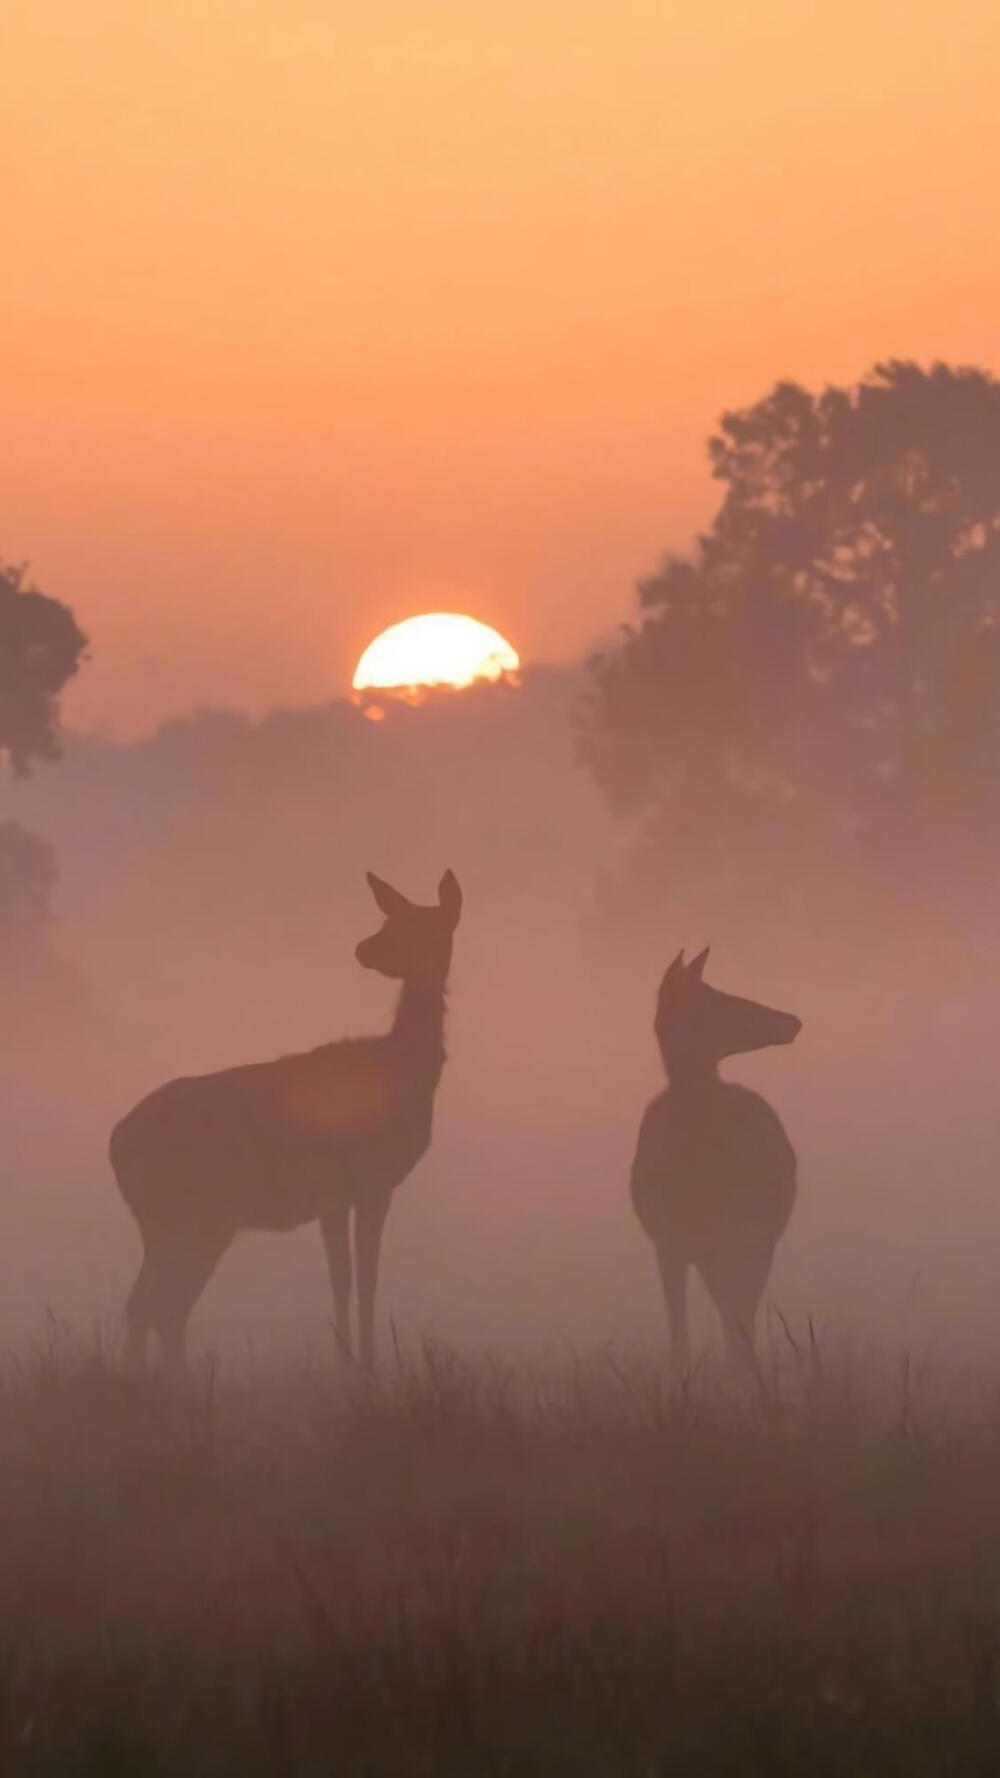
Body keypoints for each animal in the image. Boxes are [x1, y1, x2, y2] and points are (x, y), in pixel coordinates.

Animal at [109, 871, 462, 1372]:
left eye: (420, 923)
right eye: (391, 921)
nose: (363, 948)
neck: (402, 1069)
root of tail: (116, 1144)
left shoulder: (339, 1196)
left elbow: (345, 1279)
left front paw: (350, 1363)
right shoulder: (369, 1182)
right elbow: (363, 1280)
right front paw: (364, 1369)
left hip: (179, 1223)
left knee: (160, 1307)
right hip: (189, 1216)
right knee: (153, 1306)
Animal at [629, 945, 800, 1372]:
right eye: (718, 999)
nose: (794, 1021)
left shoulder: (746, 1236)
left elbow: (736, 1326)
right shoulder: (668, 1242)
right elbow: (681, 1339)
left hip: (757, 1239)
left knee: (738, 1317)